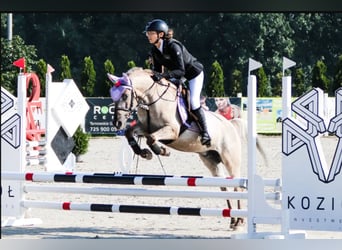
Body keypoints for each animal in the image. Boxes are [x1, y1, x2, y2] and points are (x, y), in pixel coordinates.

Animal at [108, 67, 268, 230]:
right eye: (113, 97)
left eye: (125, 95)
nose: (117, 123)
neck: (153, 99)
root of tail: (231, 124)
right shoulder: (144, 128)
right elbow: (131, 133)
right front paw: (145, 153)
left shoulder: (172, 130)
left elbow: (151, 138)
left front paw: (162, 151)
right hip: (211, 161)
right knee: (224, 187)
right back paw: (233, 220)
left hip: (230, 160)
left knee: (237, 187)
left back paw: (240, 221)